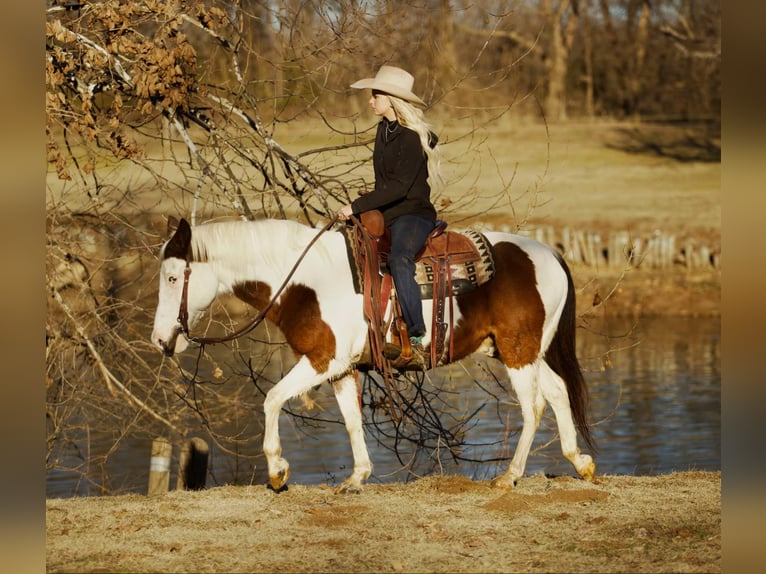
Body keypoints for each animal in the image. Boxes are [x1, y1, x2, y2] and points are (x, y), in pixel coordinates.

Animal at [150, 216, 597, 493]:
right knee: (557, 391)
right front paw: (357, 477)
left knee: (533, 405)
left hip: (519, 351)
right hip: (520, 350)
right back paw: (580, 462)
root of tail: (550, 254)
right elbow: (351, 421)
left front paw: (277, 470)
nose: (160, 340)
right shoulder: (341, 369)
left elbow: (272, 398)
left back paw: (510, 476)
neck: (303, 281)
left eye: (172, 278)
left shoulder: (323, 359)